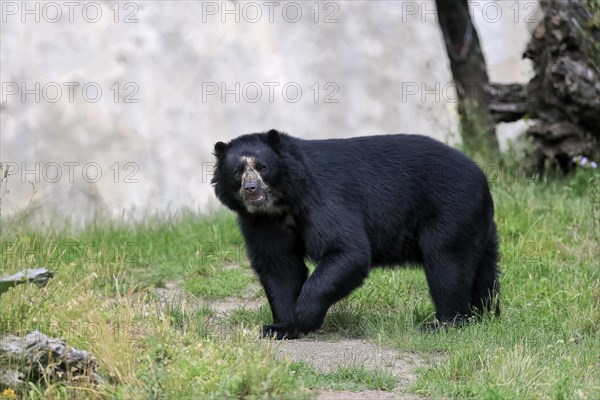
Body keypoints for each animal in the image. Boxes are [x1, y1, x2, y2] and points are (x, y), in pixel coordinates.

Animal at [209, 130, 500, 340]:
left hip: (449, 210)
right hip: (477, 223)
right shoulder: (262, 222)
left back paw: (444, 324)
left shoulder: (322, 197)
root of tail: (481, 174)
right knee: (482, 269)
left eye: (262, 167)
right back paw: (485, 316)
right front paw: (280, 327)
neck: (282, 203)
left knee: (447, 263)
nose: (251, 188)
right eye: (237, 171)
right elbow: (278, 265)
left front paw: (305, 316)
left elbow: (347, 250)